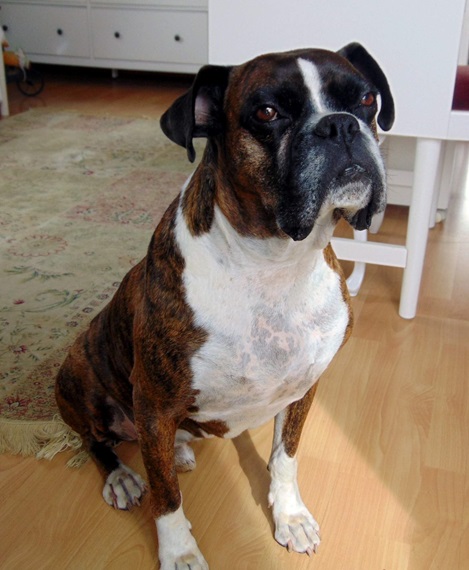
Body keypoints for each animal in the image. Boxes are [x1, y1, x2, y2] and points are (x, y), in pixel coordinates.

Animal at [56, 42, 394, 569]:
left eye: (365, 101)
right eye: (267, 112)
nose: (339, 125)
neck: (275, 265)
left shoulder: (303, 390)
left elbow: (285, 458)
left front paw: (289, 516)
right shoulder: (154, 403)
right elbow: (166, 497)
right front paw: (178, 551)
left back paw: (176, 452)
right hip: (79, 379)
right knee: (99, 441)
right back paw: (123, 476)